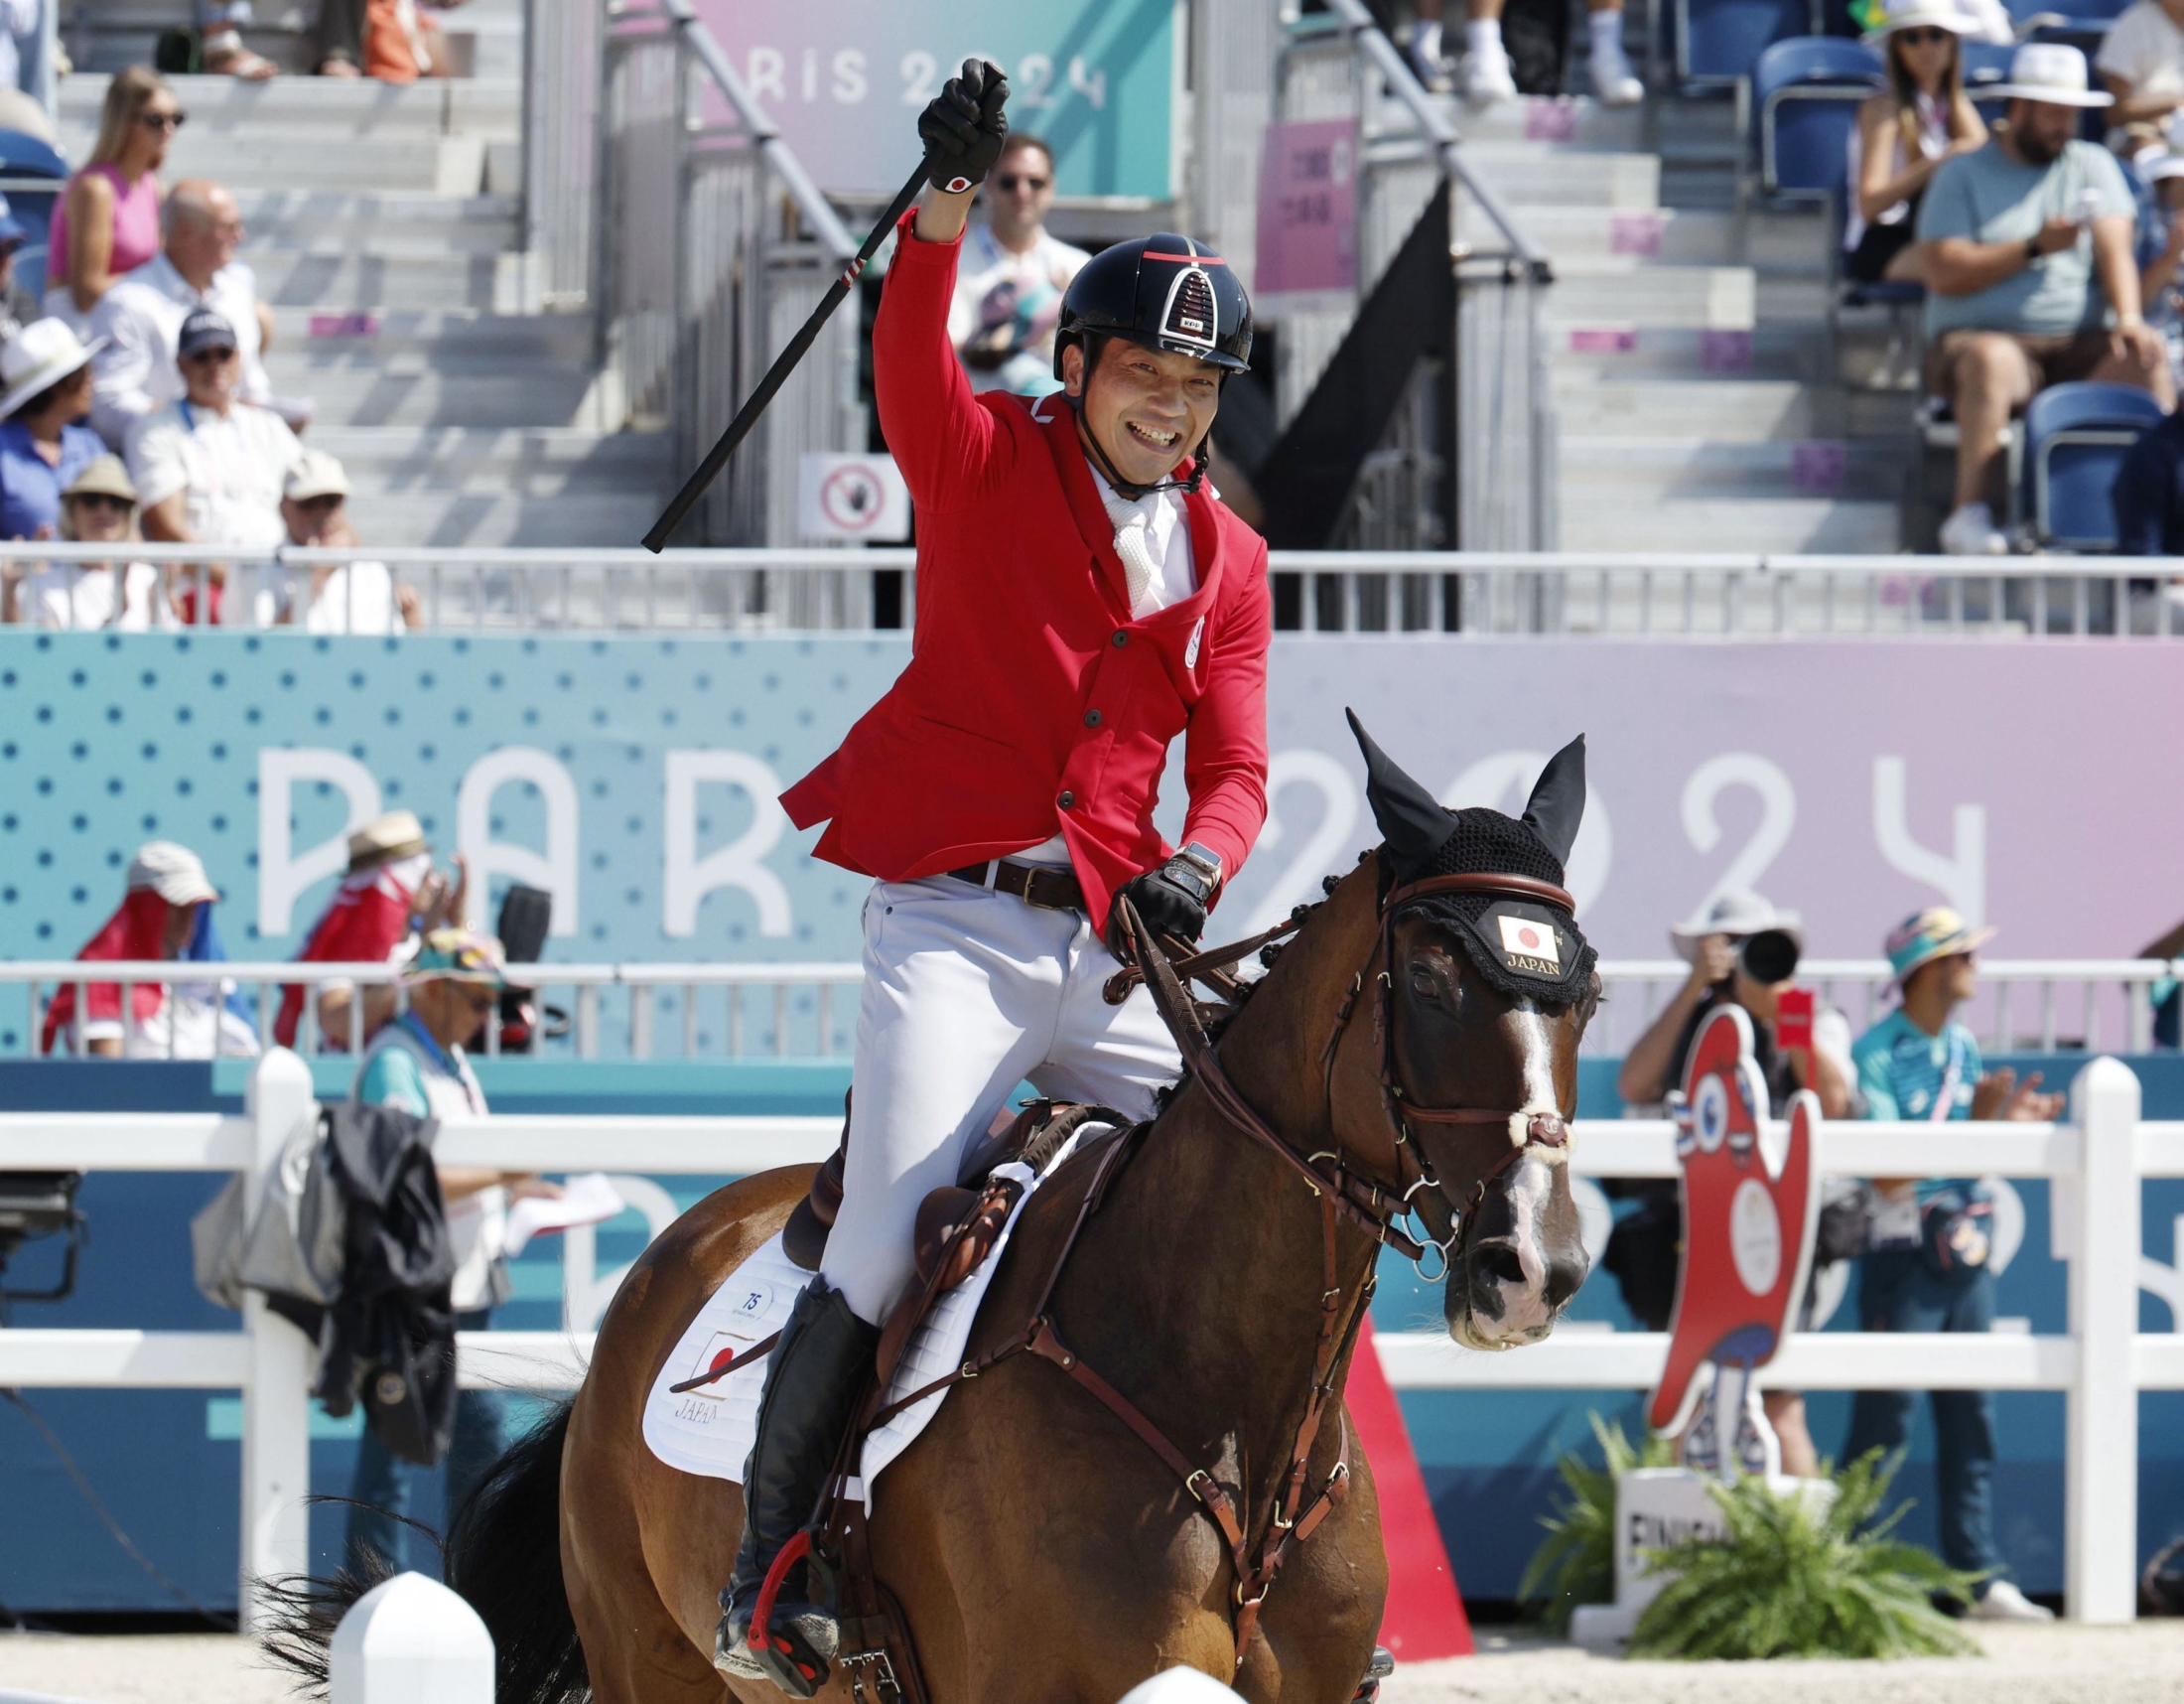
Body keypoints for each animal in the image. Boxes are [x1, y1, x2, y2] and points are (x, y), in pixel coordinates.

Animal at [281, 734, 1598, 1704]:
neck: (1224, 1402)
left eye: (1582, 995)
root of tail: (663, 1263)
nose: (1535, 1265)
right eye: (1429, 980)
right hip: (654, 1665)